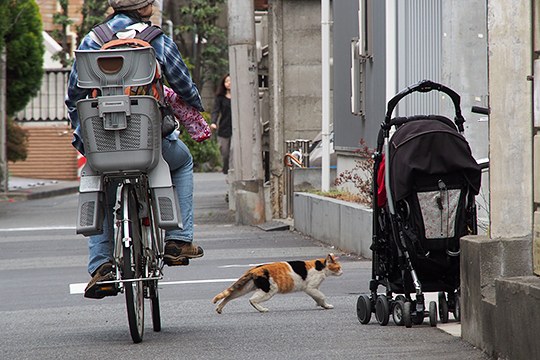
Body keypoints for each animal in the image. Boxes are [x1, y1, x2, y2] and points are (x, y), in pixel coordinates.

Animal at [211, 252, 342, 314]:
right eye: (338, 267)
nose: (342, 272)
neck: (321, 267)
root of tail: (254, 270)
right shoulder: (310, 288)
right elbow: (322, 296)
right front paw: (326, 305)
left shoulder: (314, 289)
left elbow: (318, 298)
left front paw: (321, 305)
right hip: (269, 290)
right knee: (251, 300)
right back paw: (262, 309)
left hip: (245, 288)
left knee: (229, 296)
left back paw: (219, 309)